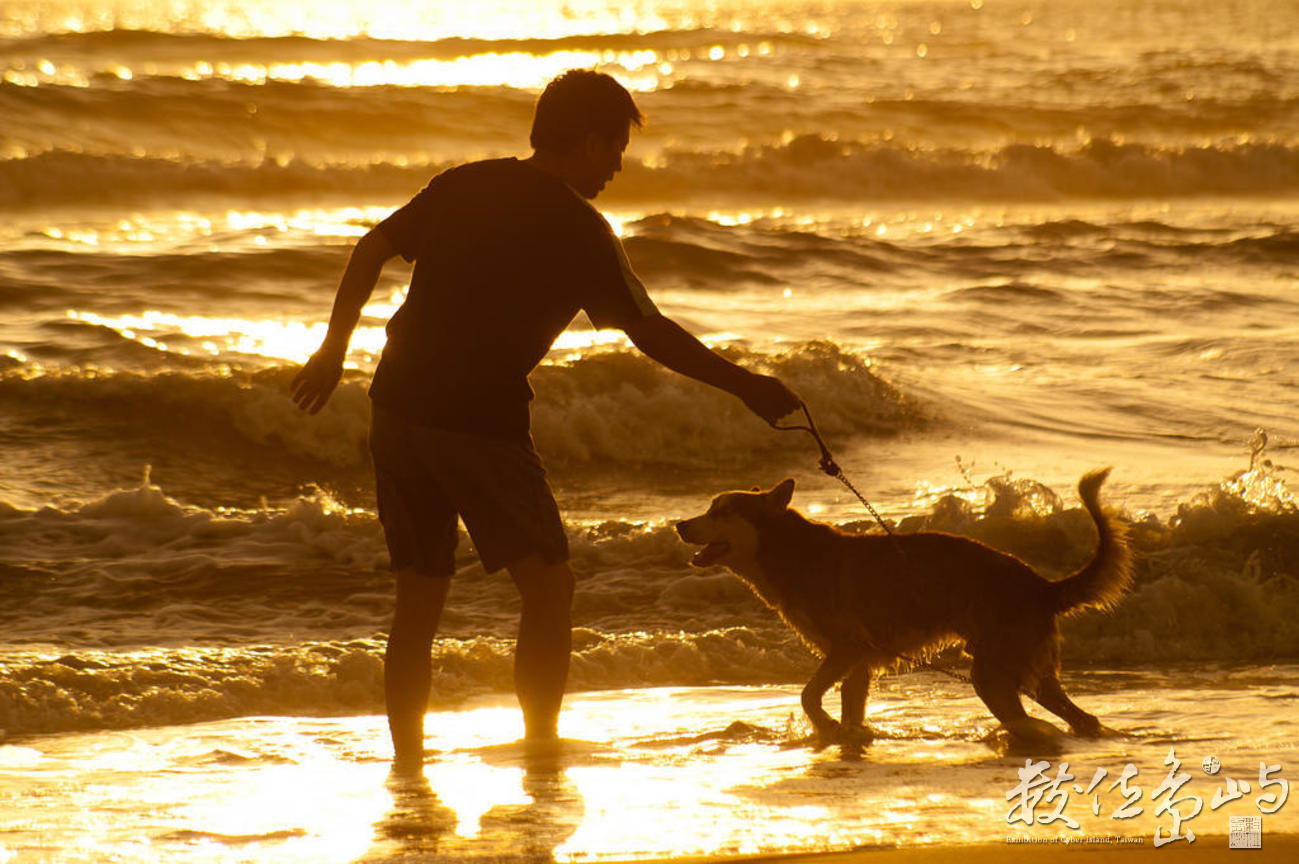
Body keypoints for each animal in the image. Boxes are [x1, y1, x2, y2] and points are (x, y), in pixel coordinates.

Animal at [675, 465, 1132, 743]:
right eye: (710, 507)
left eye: (722, 511)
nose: (680, 525)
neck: (788, 551)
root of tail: (1041, 584)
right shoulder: (857, 662)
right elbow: (848, 704)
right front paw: (848, 734)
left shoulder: (849, 648)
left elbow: (807, 696)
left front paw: (828, 728)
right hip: (1022, 669)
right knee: (1076, 716)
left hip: (994, 669)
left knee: (1029, 715)